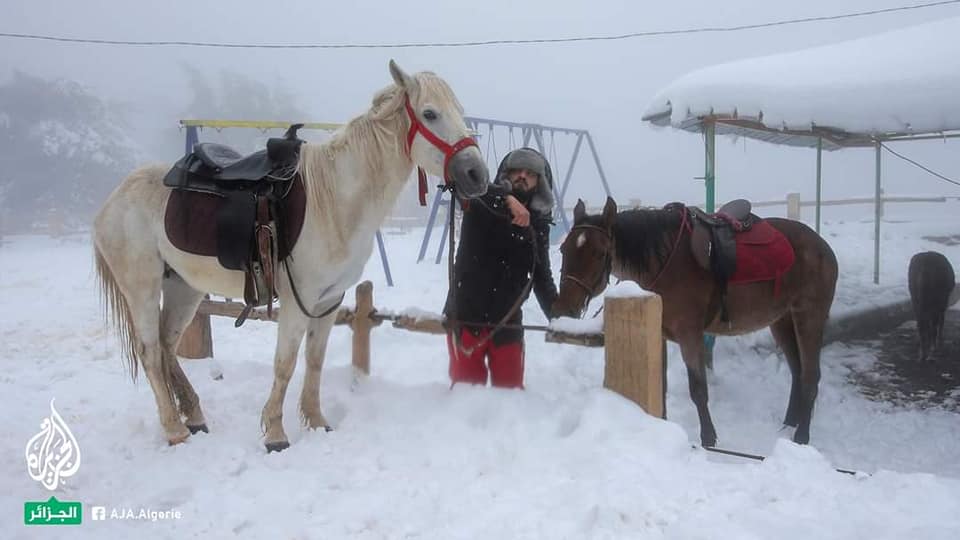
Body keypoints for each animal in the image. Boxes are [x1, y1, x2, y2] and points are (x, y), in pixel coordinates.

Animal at [93, 60, 488, 452]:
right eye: (430, 113)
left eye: (460, 111)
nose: (477, 174)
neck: (336, 200)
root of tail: (114, 198)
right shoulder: (299, 301)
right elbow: (285, 363)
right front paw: (276, 435)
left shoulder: (329, 301)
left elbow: (314, 360)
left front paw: (316, 421)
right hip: (143, 289)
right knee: (150, 352)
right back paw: (175, 429)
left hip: (184, 287)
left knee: (167, 344)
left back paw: (194, 416)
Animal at [552, 198, 836, 448]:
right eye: (564, 249)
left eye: (599, 253)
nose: (563, 307)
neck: (665, 260)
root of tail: (823, 247)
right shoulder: (660, 334)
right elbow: (662, 386)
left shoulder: (689, 335)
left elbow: (698, 389)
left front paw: (708, 439)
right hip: (782, 321)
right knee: (798, 371)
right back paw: (789, 423)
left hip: (809, 317)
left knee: (811, 374)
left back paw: (801, 436)